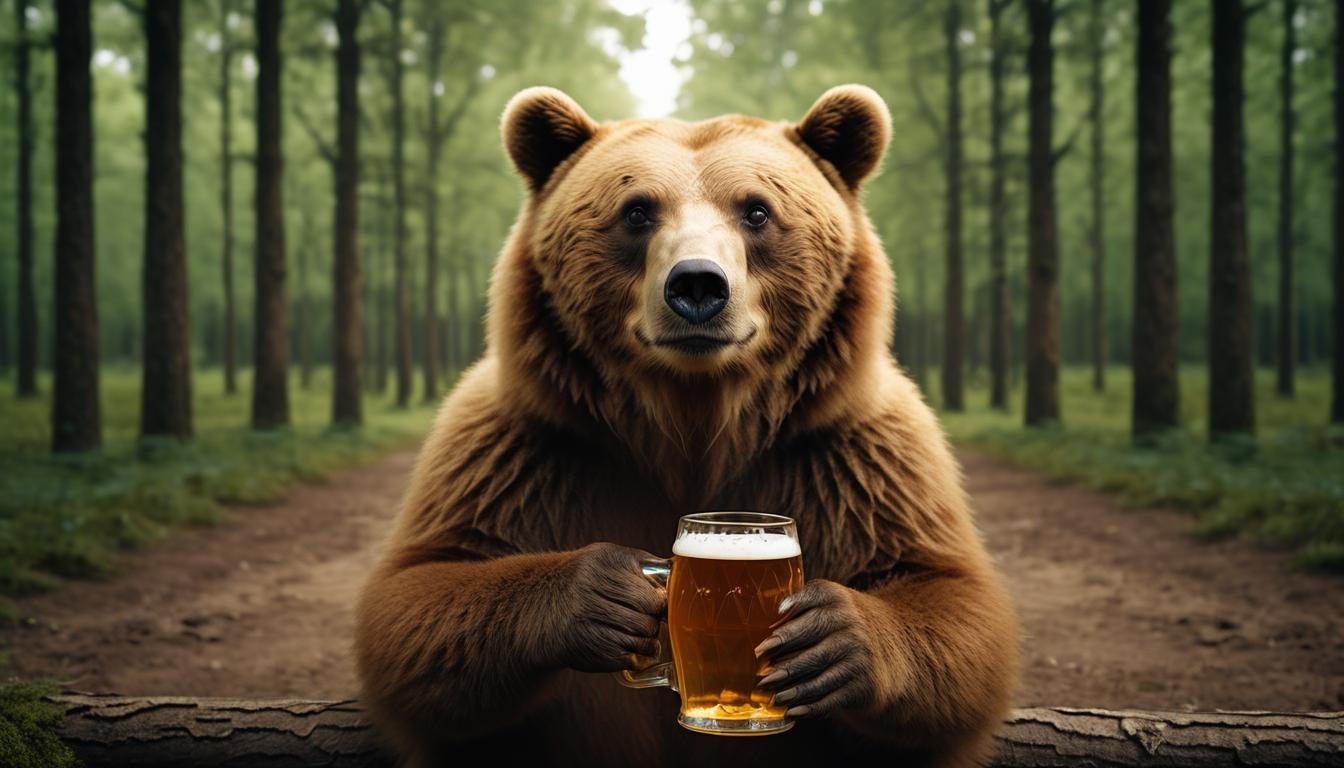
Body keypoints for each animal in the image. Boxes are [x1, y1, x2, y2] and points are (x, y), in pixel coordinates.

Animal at [354, 84, 1019, 768]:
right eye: (637, 211)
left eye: (757, 210)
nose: (698, 285)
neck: (692, 423)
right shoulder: (524, 445)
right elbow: (420, 595)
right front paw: (604, 596)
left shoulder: (850, 452)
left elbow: (945, 594)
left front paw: (829, 639)